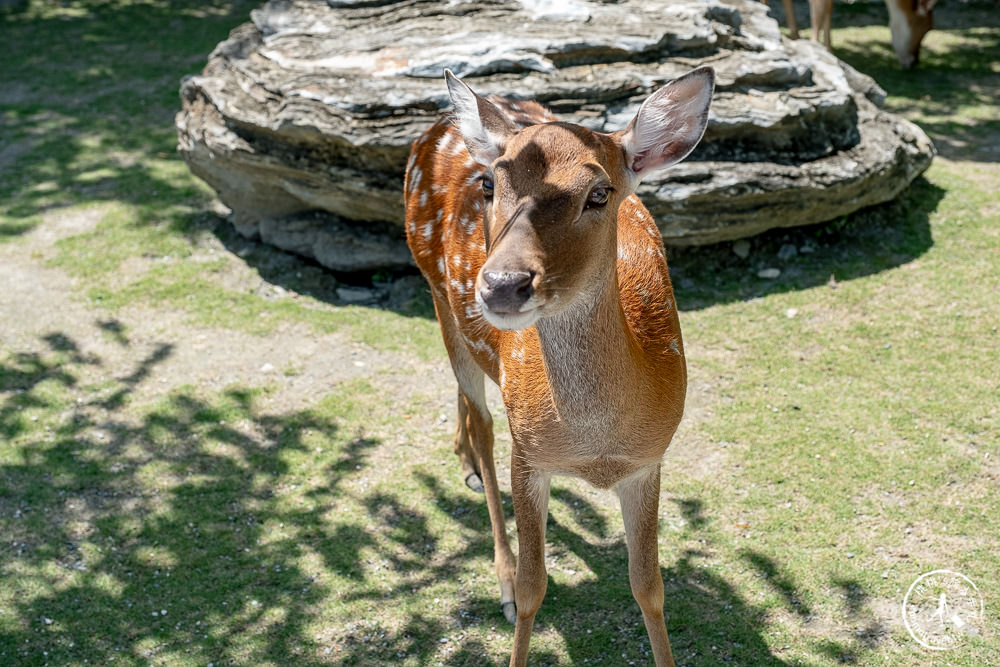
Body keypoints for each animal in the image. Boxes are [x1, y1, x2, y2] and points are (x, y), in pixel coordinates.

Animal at [402, 65, 716, 664]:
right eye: (490, 185)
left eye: (600, 192)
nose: (503, 284)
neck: (593, 447)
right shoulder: (529, 455)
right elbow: (533, 588)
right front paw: (514, 592)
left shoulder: (649, 460)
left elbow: (649, 587)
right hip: (436, 291)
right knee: (483, 422)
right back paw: (494, 553)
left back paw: (462, 456)